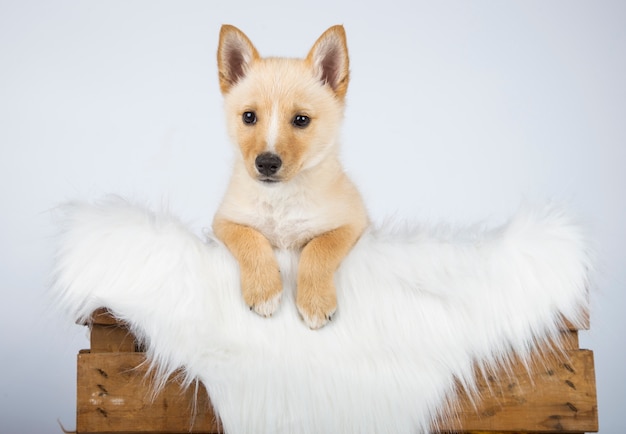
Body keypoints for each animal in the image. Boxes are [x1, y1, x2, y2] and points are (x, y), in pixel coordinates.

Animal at [212, 24, 368, 328]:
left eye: (301, 120)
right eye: (249, 117)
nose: (267, 163)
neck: (280, 198)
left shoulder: (353, 223)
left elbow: (319, 248)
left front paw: (316, 303)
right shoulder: (224, 221)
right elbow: (250, 240)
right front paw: (264, 291)